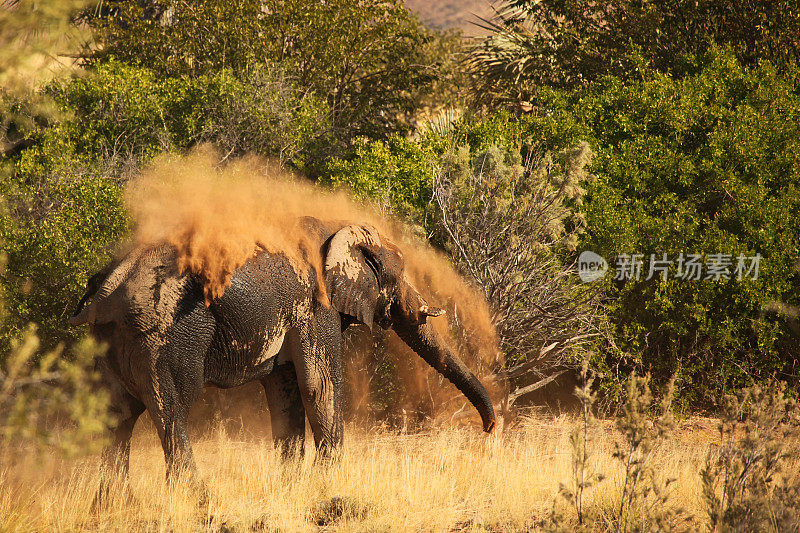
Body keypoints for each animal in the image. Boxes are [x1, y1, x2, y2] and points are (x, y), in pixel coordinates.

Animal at [70, 217, 494, 486]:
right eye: (398, 274)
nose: (490, 433)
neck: (336, 230)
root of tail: (105, 288)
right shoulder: (316, 305)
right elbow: (318, 386)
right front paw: (331, 486)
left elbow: (286, 393)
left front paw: (291, 487)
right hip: (161, 334)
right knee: (171, 410)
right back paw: (197, 501)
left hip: (111, 339)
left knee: (116, 416)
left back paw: (111, 506)